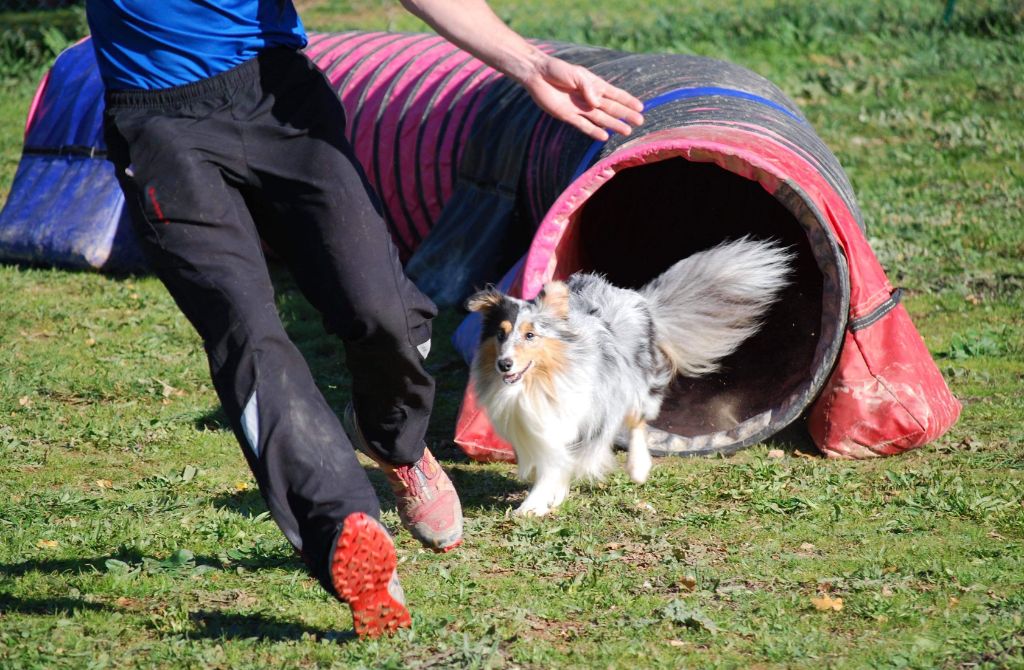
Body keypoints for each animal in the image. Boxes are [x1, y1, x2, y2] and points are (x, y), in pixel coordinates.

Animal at [464, 237, 790, 520]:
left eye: (531, 335)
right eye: (500, 334)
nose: (504, 364)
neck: (540, 380)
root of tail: (635, 296)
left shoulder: (585, 416)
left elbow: (561, 461)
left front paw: (534, 505)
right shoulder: (536, 426)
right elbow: (551, 461)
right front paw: (546, 497)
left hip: (636, 384)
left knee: (638, 421)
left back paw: (638, 467)